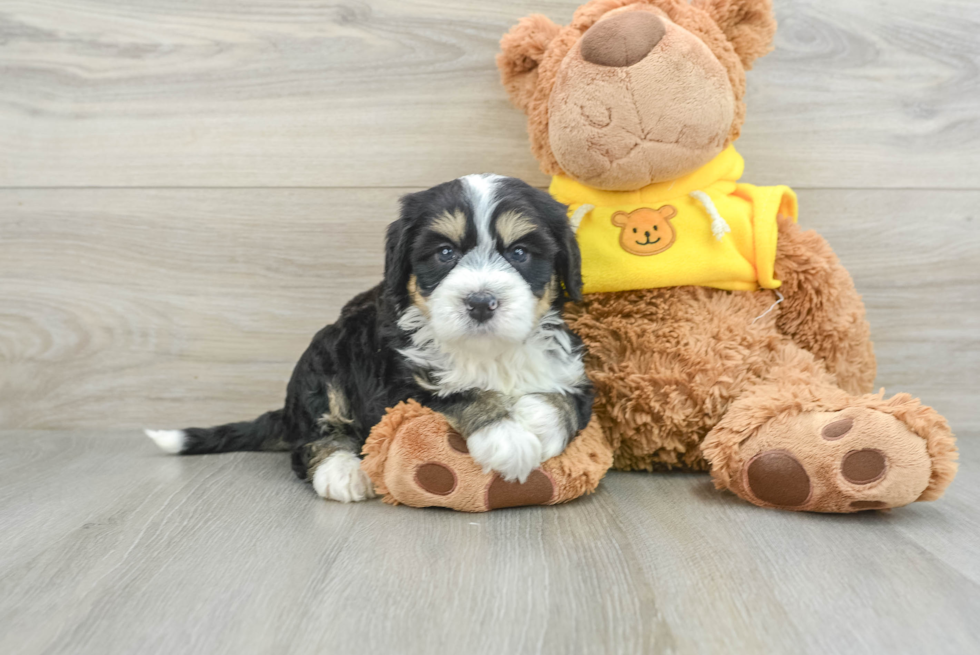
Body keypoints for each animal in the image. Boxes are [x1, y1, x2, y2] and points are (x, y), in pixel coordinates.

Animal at [145, 174, 588, 502]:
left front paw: (533, 418)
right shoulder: (394, 387)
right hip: (325, 355)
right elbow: (456, 392)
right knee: (314, 436)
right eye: (445, 253)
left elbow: (569, 404)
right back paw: (341, 471)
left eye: (520, 253)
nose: (480, 302)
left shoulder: (576, 371)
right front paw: (507, 435)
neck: (487, 352)